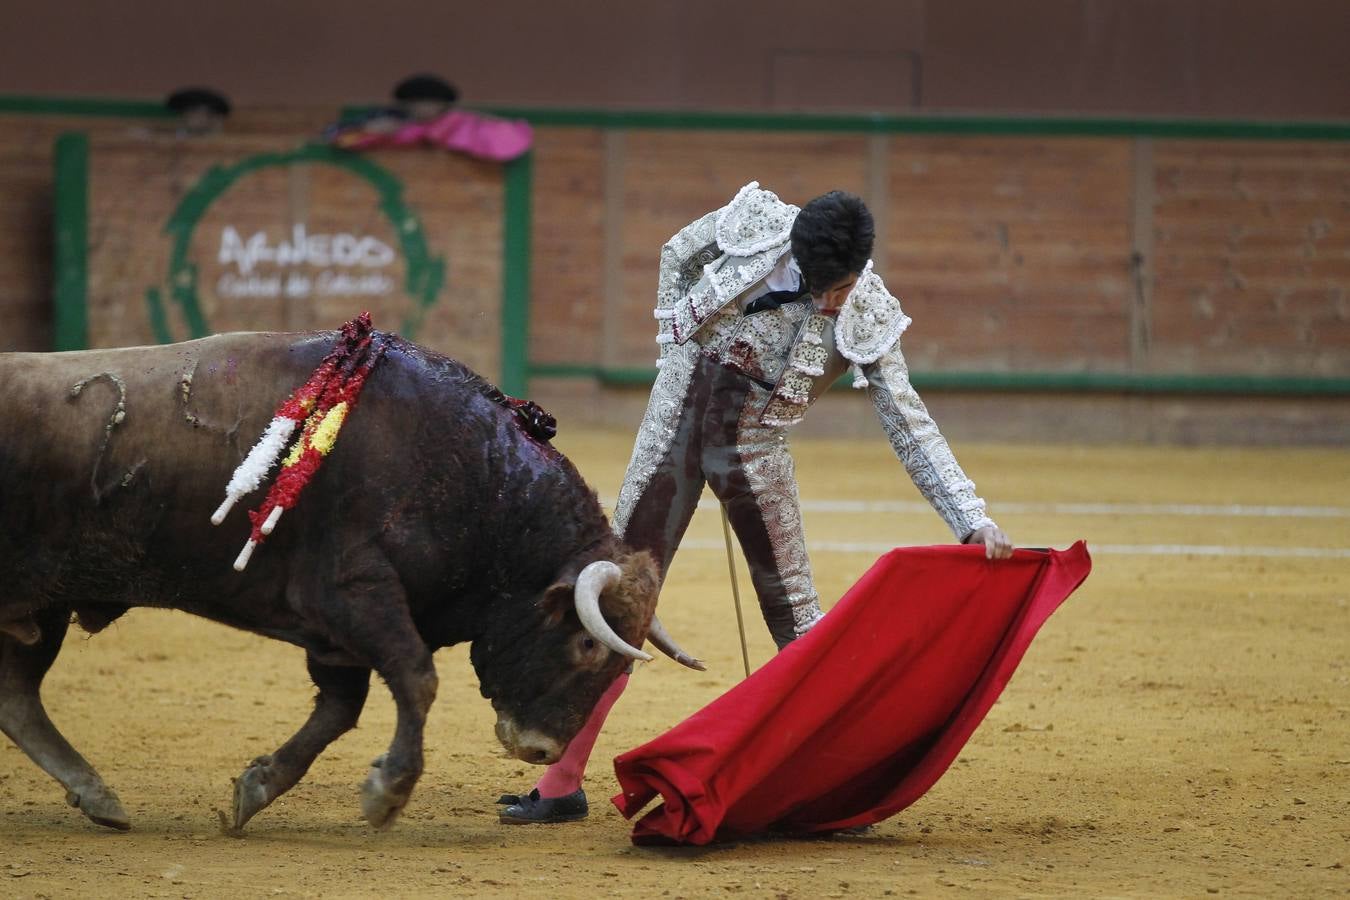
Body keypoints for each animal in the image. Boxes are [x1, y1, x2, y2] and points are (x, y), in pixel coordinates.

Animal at [0, 327, 691, 836]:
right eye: (586, 643)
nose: (542, 750)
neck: (479, 479)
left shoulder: (335, 632)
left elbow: (339, 708)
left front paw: (254, 790)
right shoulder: (355, 593)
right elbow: (414, 677)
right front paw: (387, 793)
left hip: (41, 609)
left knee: (18, 697)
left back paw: (98, 796)